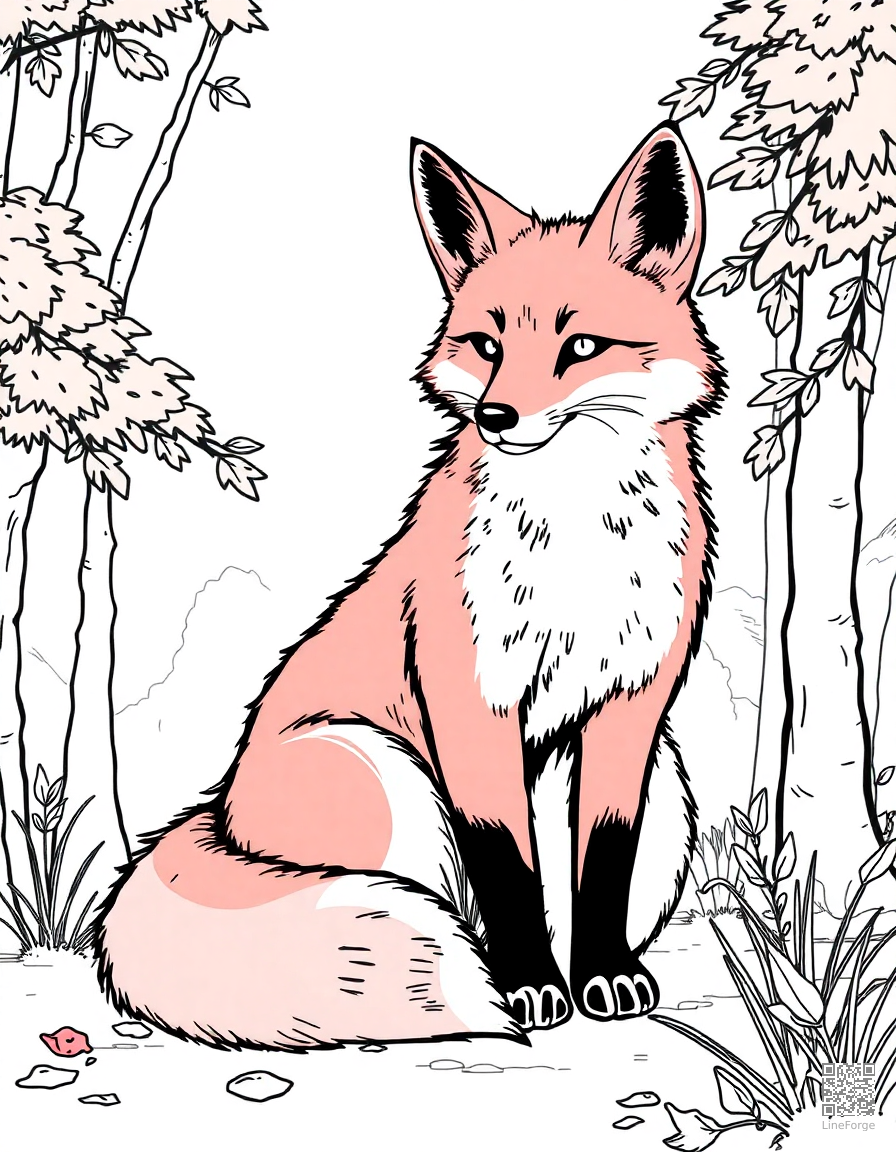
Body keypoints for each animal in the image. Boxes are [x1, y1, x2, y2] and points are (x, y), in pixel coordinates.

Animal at [95, 122, 723, 1050]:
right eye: (488, 346)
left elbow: (600, 864)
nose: (495, 416)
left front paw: (601, 975)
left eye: (579, 347)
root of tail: (215, 811)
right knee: (438, 901)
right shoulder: (469, 700)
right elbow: (506, 868)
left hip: (667, 782)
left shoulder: (632, 704)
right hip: (391, 775)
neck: (575, 548)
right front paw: (527, 985)